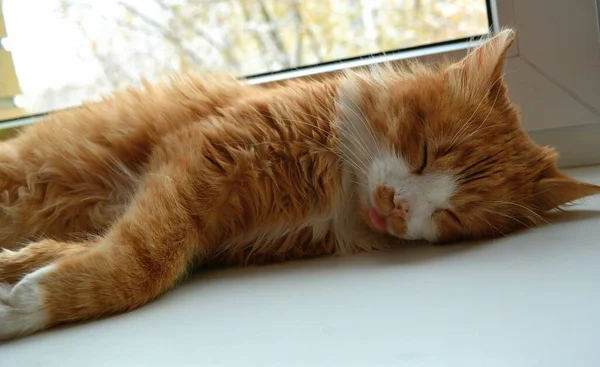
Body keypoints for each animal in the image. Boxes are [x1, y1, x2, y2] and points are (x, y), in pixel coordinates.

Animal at [1, 28, 600, 340]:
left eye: (454, 215)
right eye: (425, 152)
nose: (397, 207)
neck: (338, 188)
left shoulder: (217, 235)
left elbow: (106, 251)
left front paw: (22, 280)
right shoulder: (198, 156)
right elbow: (144, 262)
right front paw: (28, 302)